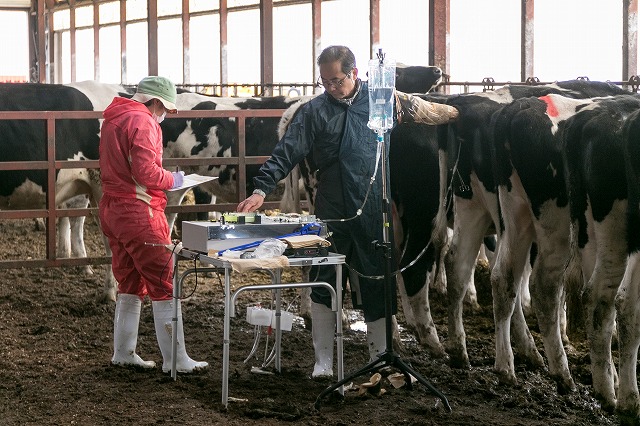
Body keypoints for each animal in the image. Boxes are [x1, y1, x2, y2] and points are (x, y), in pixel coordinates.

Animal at [436, 80, 632, 390]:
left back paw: (474, 354)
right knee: (543, 283)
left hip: (481, 206)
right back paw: (560, 371)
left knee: (475, 268)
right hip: (555, 222)